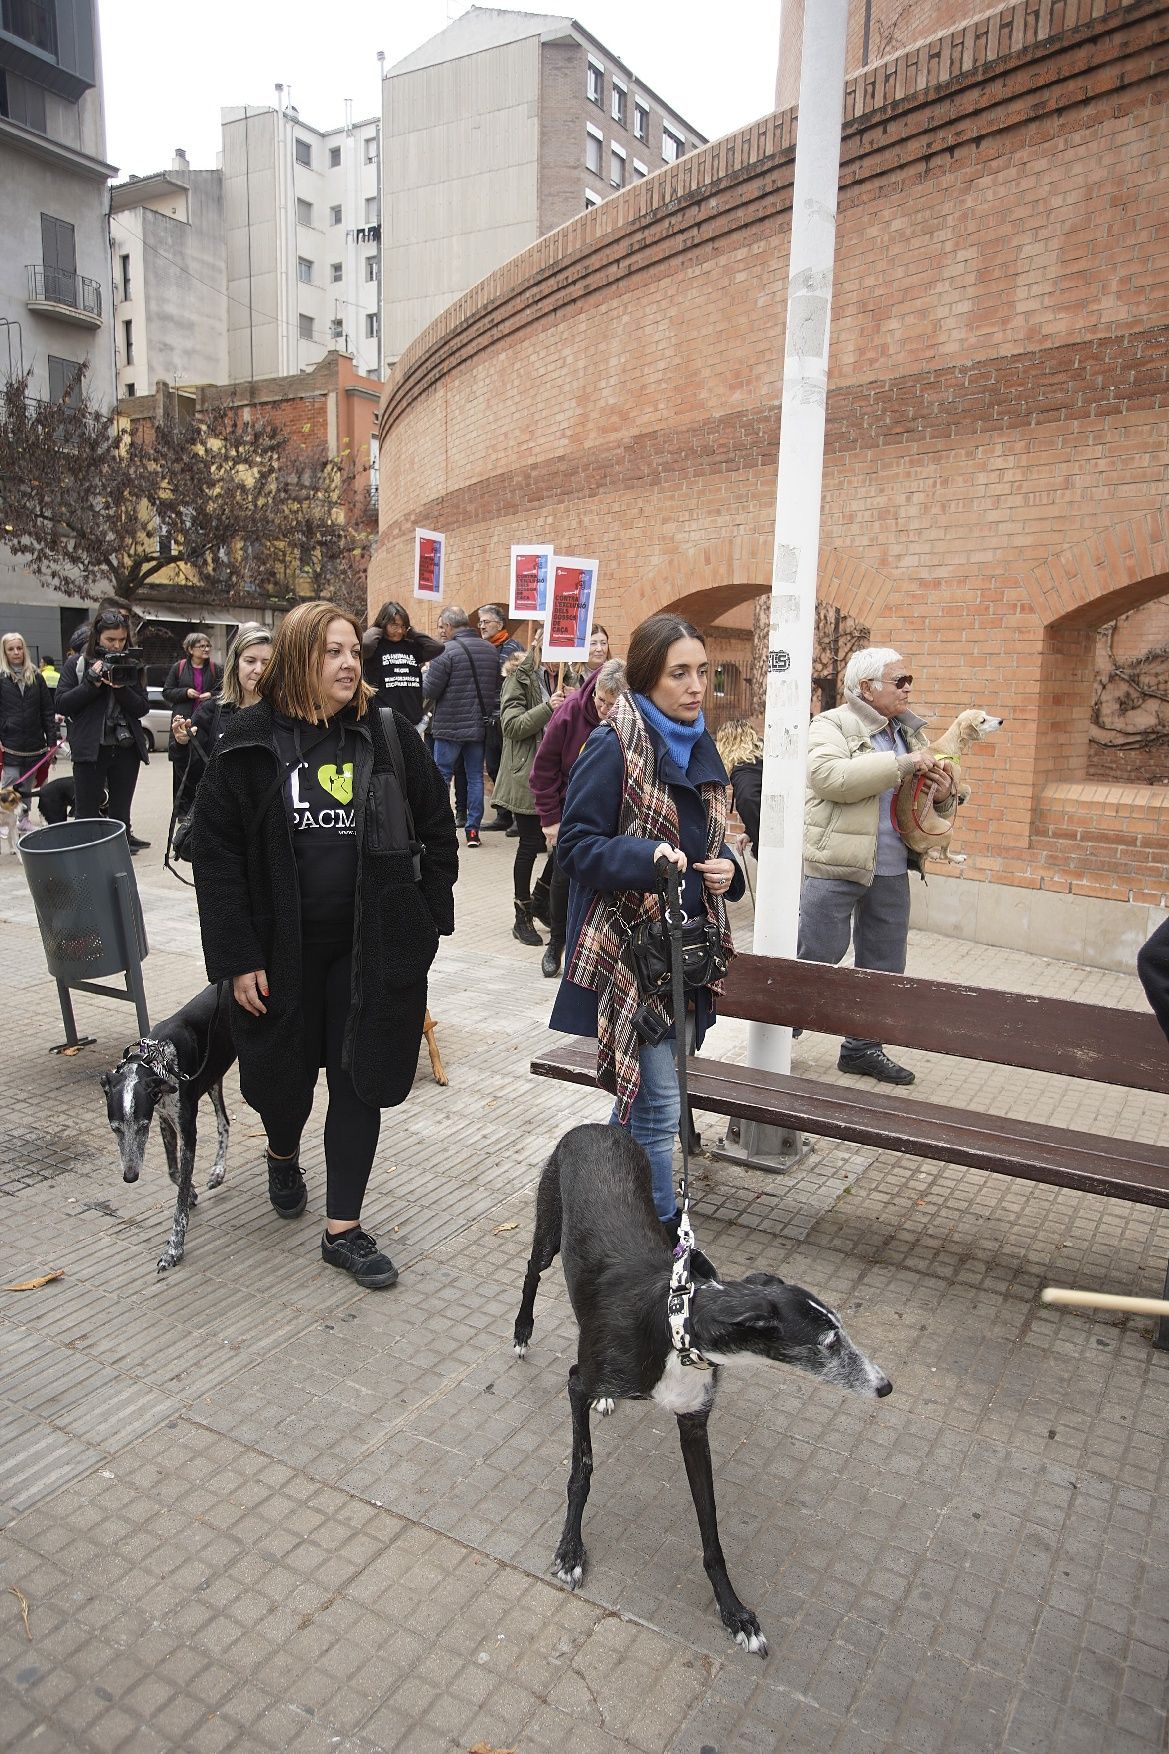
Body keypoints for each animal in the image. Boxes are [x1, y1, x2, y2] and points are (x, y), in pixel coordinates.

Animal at [101, 982, 235, 1269]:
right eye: (115, 1128)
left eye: (142, 1127)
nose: (130, 1177)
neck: (157, 1060)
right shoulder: (164, 1119)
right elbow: (174, 1173)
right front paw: (193, 1193)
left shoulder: (188, 1133)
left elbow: (180, 1200)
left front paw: (174, 1248)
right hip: (213, 1077)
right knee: (224, 1123)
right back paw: (217, 1171)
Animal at [512, 1122, 891, 1655]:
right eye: (829, 1342)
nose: (885, 1386)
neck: (677, 1328)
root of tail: (605, 1126)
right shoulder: (576, 1385)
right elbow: (581, 1470)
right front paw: (570, 1551)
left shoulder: (694, 1424)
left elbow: (710, 1524)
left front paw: (734, 1612)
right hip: (548, 1228)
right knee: (531, 1271)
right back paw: (522, 1331)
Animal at [891, 708, 1004, 866]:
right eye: (982, 720)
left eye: (986, 714)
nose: (1001, 721)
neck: (947, 747)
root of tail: (911, 842)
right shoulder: (954, 782)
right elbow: (967, 788)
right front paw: (962, 797)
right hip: (947, 830)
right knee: (944, 855)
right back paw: (957, 858)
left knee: (930, 853)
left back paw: (933, 854)